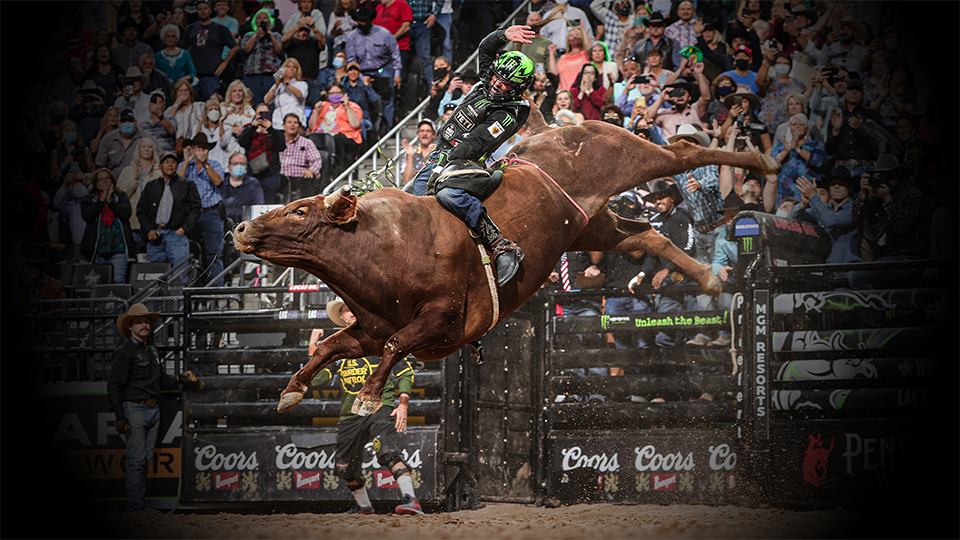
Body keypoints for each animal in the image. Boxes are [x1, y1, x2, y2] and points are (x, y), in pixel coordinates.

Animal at [233, 113, 780, 415]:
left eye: (300, 211)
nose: (240, 229)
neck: (383, 244)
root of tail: (552, 133)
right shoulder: (368, 329)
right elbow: (330, 345)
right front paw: (291, 392)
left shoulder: (443, 317)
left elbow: (394, 345)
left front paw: (368, 397)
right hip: (589, 225)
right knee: (646, 234)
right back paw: (708, 276)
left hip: (625, 155)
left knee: (684, 153)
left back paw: (763, 163)